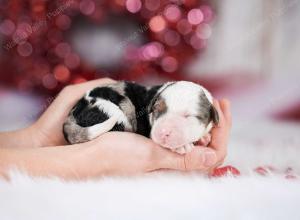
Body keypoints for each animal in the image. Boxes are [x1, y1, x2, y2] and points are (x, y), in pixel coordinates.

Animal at [63, 80, 218, 154]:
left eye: (187, 116)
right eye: (156, 110)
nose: (163, 132)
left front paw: (204, 138)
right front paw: (183, 147)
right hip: (111, 112)